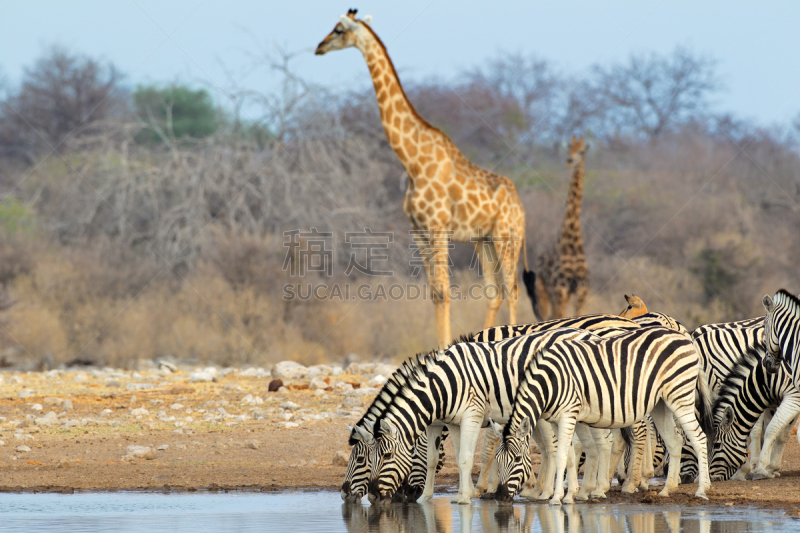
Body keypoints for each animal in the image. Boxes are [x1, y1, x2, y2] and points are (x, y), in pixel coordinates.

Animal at [314, 10, 532, 348]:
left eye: (338, 30)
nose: (319, 47)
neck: (412, 162)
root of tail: (521, 206)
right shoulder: (418, 231)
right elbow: (434, 294)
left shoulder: (438, 227)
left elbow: (444, 292)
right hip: (483, 240)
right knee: (494, 292)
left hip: (507, 236)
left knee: (512, 288)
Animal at [494, 324, 712, 502]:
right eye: (497, 459)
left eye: (517, 459)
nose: (501, 496)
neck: (550, 381)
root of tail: (684, 337)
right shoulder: (559, 420)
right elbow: (570, 456)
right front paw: (570, 495)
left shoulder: (568, 414)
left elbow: (561, 455)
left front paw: (556, 498)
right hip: (661, 403)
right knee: (675, 441)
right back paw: (667, 489)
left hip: (680, 395)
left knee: (699, 438)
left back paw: (702, 490)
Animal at [524, 136, 588, 320]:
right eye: (569, 149)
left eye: (581, 151)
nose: (569, 161)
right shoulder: (560, 289)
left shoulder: (582, 290)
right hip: (544, 290)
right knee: (545, 316)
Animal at [708, 348, 800, 480]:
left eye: (716, 445)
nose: (709, 476)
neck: (767, 380)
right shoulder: (782, 403)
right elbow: (779, 434)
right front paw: (770, 468)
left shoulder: (793, 397)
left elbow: (771, 430)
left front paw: (761, 468)